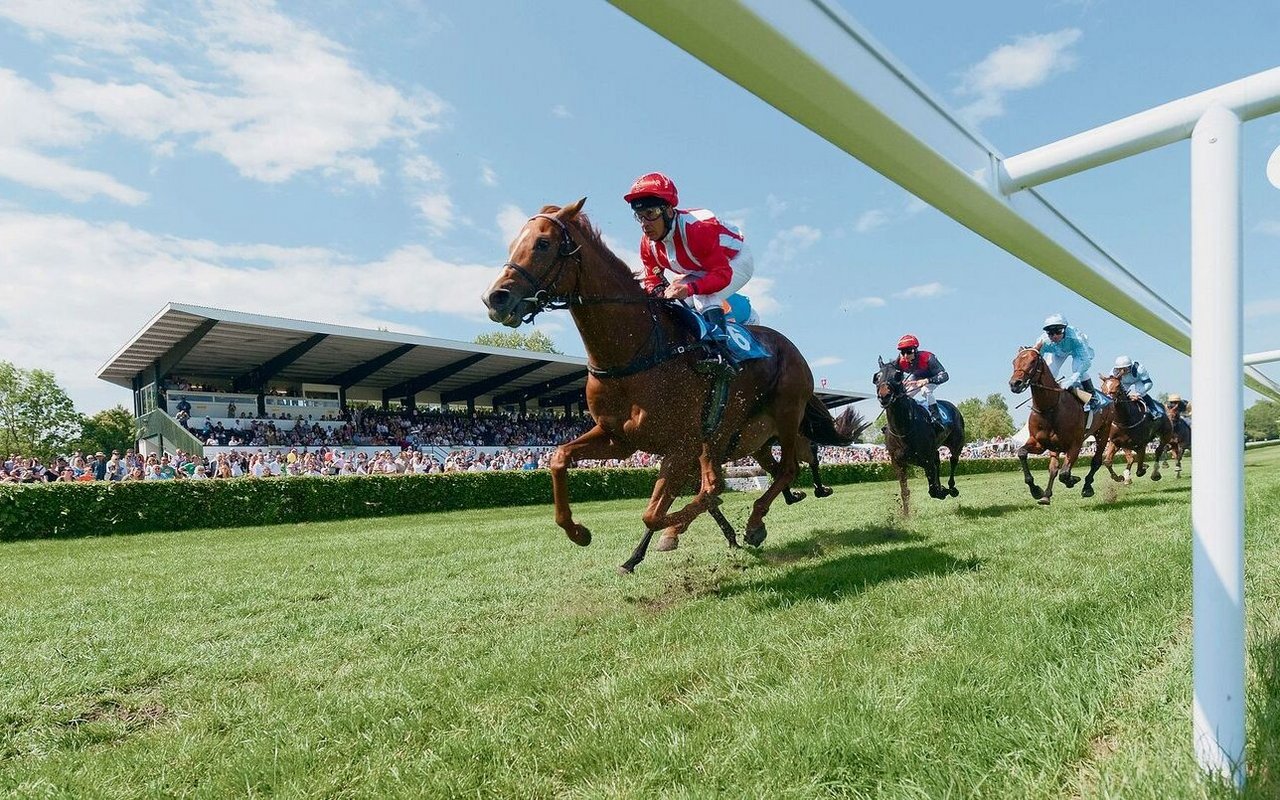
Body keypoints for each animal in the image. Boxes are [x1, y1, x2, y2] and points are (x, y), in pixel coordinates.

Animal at [481, 199, 860, 573]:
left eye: (543, 244)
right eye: (512, 243)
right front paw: (579, 532)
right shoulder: (619, 439)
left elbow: (660, 510)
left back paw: (754, 521)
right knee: (776, 469)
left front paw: (671, 533)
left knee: (788, 467)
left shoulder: (683, 443)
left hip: (785, 414)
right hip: (752, 436)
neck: (634, 352)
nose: (495, 298)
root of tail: (792, 348)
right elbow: (559, 458)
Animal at [875, 353, 962, 512]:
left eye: (897, 375)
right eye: (877, 377)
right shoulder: (898, 463)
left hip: (957, 444)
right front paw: (906, 515)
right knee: (938, 461)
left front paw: (942, 490)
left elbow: (933, 490)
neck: (903, 429)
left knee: (953, 460)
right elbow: (905, 491)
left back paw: (951, 487)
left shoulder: (926, 460)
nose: (884, 395)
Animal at [1008, 345, 1111, 504]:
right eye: (1014, 361)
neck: (1049, 407)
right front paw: (1036, 490)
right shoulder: (1039, 443)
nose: (1015, 384)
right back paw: (1046, 495)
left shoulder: (1076, 444)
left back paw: (1087, 487)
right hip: (1055, 446)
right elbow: (1022, 453)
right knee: (1053, 468)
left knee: (1096, 461)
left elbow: (1064, 473)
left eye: (1033, 361)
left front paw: (1072, 480)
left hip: (1103, 432)